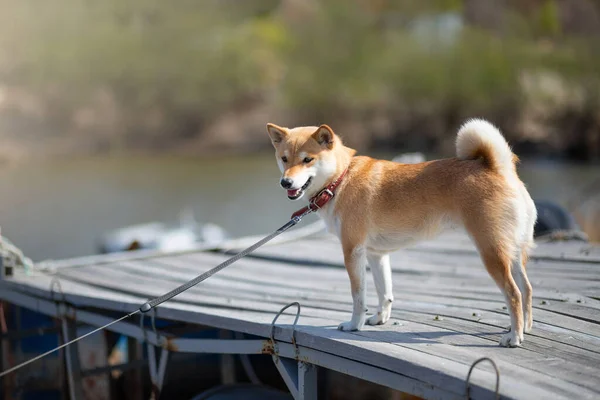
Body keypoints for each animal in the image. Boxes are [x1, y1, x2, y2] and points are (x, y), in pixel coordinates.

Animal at [264, 119, 536, 346]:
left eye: (307, 160)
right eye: (284, 158)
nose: (286, 183)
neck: (340, 179)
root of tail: (498, 168)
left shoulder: (352, 251)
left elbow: (358, 296)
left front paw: (354, 325)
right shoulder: (376, 254)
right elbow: (385, 291)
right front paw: (379, 319)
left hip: (491, 252)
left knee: (513, 293)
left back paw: (513, 337)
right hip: (513, 252)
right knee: (526, 288)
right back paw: (525, 328)